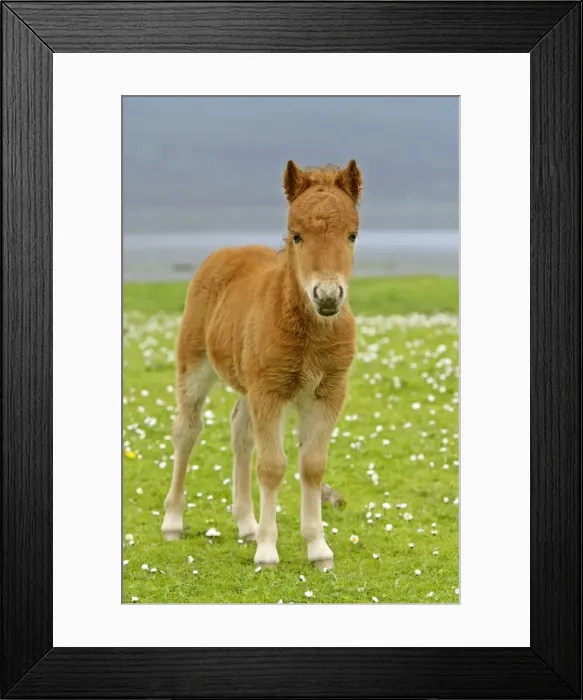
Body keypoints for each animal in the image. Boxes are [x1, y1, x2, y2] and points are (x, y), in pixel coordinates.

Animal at [161, 160, 362, 570]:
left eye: (352, 235)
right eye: (296, 236)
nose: (327, 297)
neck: (309, 334)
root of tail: (226, 252)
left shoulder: (328, 393)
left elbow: (312, 465)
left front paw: (319, 550)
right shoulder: (271, 391)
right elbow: (271, 466)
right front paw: (268, 552)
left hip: (248, 384)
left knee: (240, 431)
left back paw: (247, 525)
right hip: (195, 366)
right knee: (186, 430)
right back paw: (173, 523)